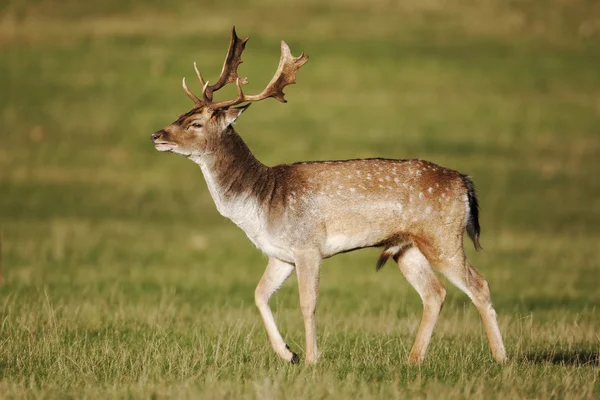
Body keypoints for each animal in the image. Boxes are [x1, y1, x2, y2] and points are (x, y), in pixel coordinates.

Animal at [154, 26, 506, 366]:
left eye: (195, 123)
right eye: (181, 114)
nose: (157, 135)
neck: (262, 199)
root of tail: (465, 183)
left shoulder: (308, 245)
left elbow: (307, 302)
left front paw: (311, 359)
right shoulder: (281, 253)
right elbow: (259, 294)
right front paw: (289, 354)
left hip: (443, 235)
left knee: (479, 284)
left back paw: (500, 358)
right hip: (407, 246)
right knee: (435, 293)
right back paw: (413, 361)